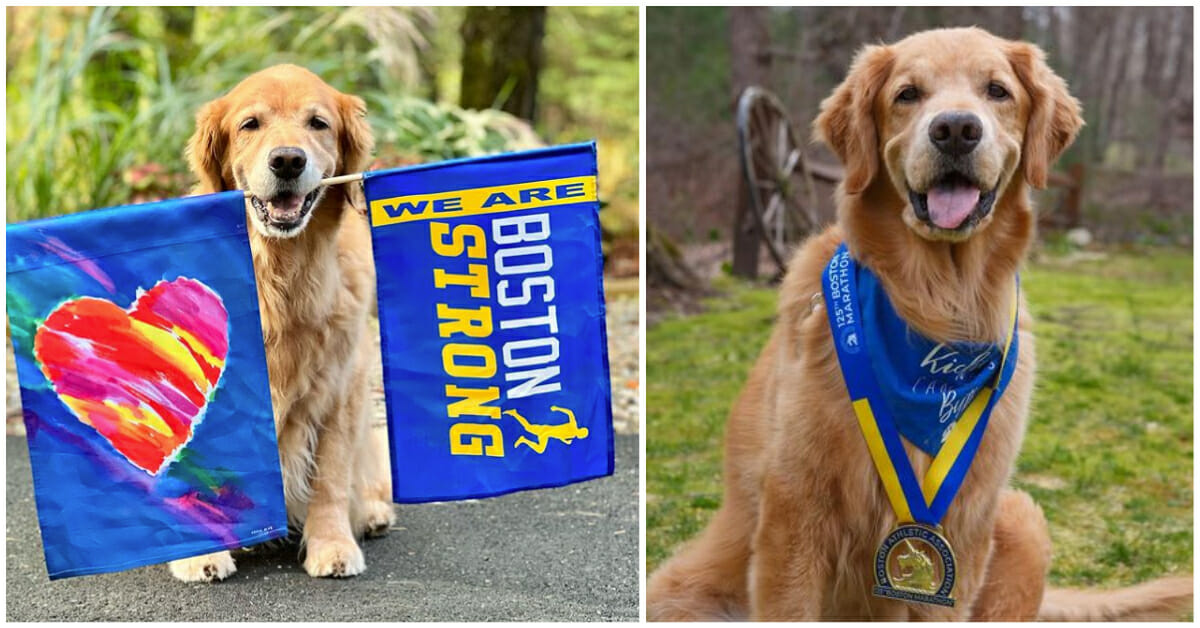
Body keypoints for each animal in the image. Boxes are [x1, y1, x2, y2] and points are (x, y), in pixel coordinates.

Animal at [166, 63, 393, 581]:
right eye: (250, 124)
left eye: (318, 123)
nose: (287, 161)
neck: (281, 273)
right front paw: (201, 553)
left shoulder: (343, 385)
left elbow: (331, 475)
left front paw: (332, 544)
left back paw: (372, 514)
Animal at [648, 28, 1190, 619]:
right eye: (907, 94)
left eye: (997, 90)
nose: (955, 129)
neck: (938, 309)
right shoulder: (795, 513)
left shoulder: (961, 532)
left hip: (1021, 519)